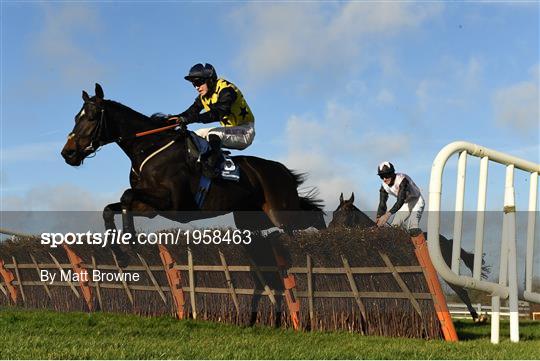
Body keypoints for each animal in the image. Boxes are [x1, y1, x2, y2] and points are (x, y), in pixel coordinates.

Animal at [61, 83, 326, 242]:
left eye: (91, 117)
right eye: (76, 117)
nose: (68, 153)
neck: (149, 146)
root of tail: (283, 170)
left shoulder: (173, 202)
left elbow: (126, 195)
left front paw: (130, 238)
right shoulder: (149, 207)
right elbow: (111, 207)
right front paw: (117, 243)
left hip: (281, 213)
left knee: (310, 219)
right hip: (249, 219)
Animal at [330, 193, 490, 322]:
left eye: (345, 212)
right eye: (334, 213)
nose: (329, 230)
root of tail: (448, 241)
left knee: (461, 291)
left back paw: (476, 317)